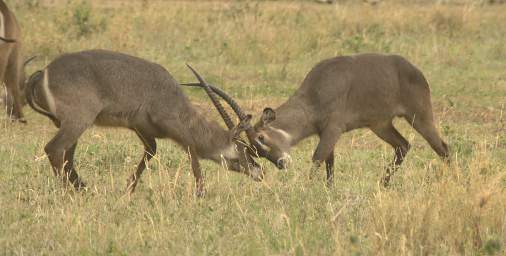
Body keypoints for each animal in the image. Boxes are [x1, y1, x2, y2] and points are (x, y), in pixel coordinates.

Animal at [24, 49, 262, 195]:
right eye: (244, 147)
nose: (259, 171)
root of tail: (43, 72)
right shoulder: (173, 125)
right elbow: (192, 151)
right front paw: (201, 193)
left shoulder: (141, 129)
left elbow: (151, 152)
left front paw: (128, 189)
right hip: (78, 121)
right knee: (54, 149)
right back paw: (69, 192)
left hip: (71, 125)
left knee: (67, 158)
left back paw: (83, 188)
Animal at [185, 54, 450, 186]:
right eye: (254, 150)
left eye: (260, 137)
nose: (280, 163)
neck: (314, 94)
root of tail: (413, 68)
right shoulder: (326, 133)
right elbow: (330, 164)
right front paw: (328, 192)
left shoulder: (333, 129)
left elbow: (317, 159)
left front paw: (307, 192)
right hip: (380, 125)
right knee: (403, 145)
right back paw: (381, 185)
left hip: (419, 116)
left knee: (442, 147)